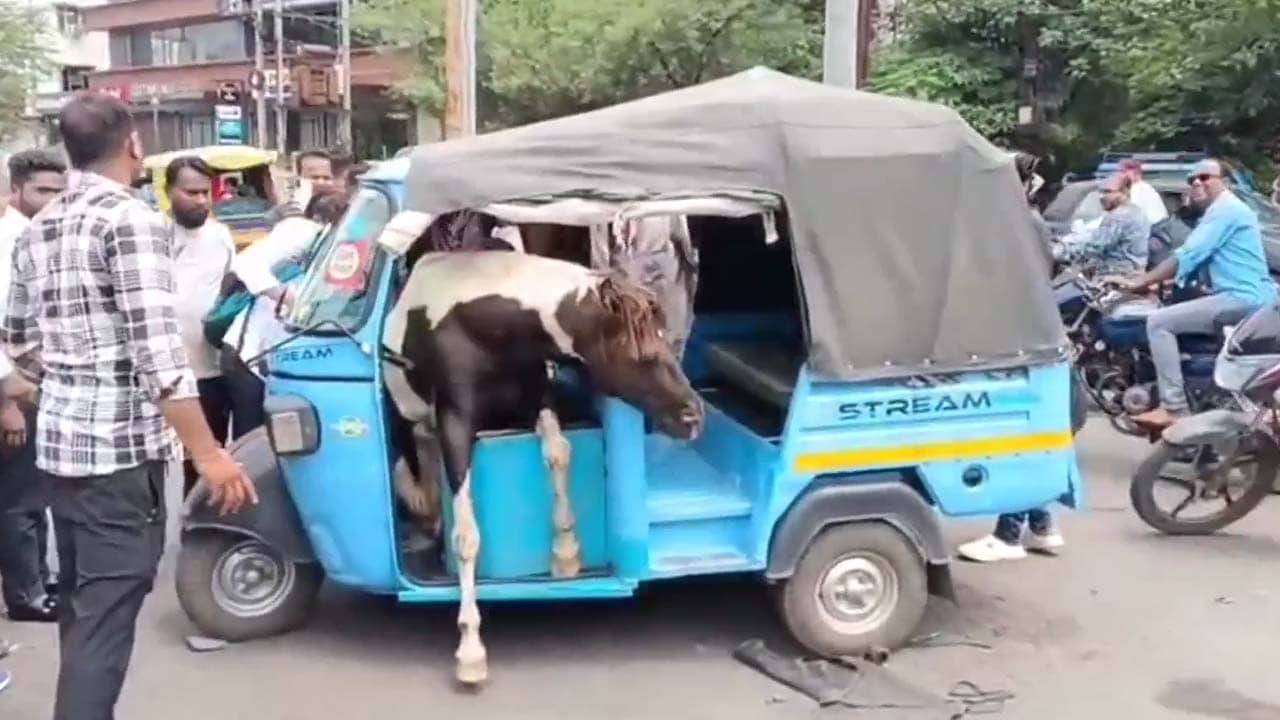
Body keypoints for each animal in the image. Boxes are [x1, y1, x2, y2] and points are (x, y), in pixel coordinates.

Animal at [381, 248, 705, 686]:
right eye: (643, 355)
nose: (694, 418)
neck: (482, 324)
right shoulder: (455, 426)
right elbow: (466, 537)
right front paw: (470, 646)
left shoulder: (537, 397)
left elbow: (559, 454)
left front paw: (566, 553)